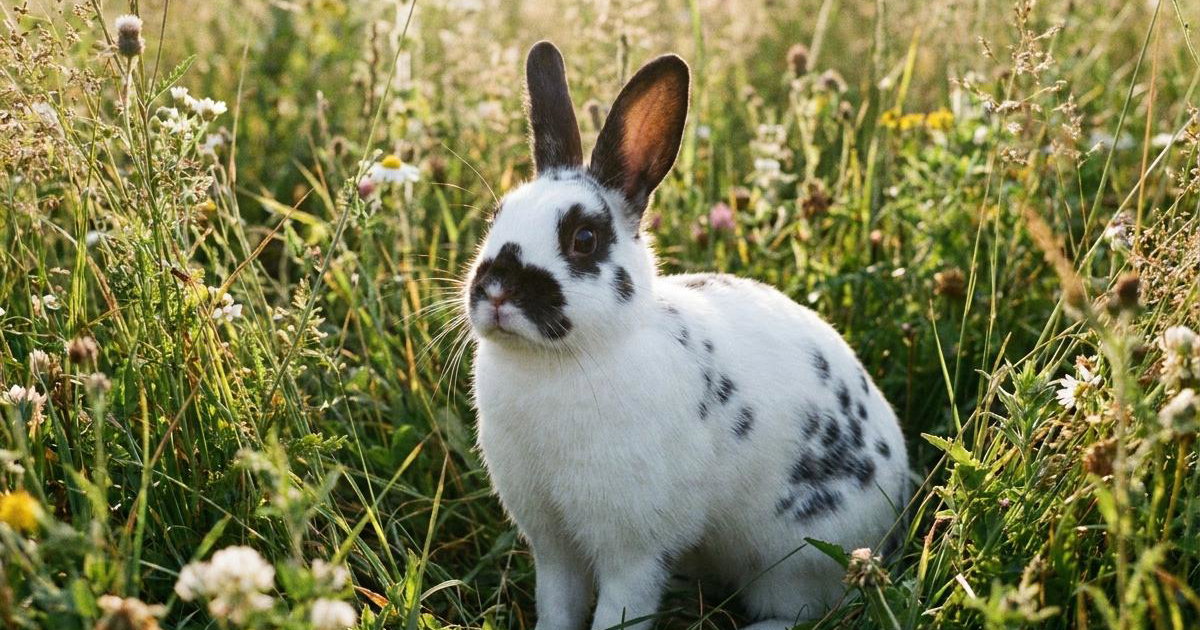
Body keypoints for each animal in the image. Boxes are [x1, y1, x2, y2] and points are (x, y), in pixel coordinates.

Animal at [463, 40, 911, 630]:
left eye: (584, 238)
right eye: (496, 217)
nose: (495, 289)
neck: (555, 361)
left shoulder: (630, 548)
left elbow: (621, 607)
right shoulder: (553, 544)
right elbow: (557, 604)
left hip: (800, 557)